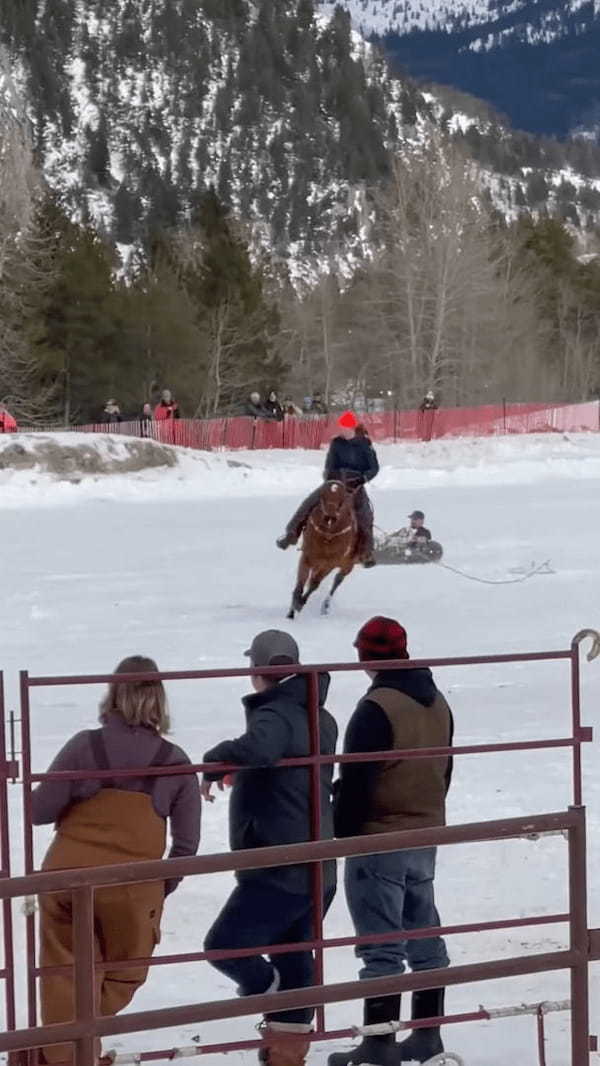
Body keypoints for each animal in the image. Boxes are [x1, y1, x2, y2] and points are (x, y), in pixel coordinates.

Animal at [285, 479, 362, 622]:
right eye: (322, 495)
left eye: (342, 498)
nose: (330, 516)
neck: (327, 535)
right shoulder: (307, 557)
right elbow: (300, 582)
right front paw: (293, 608)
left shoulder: (330, 563)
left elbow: (314, 584)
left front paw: (300, 603)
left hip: (347, 566)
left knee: (337, 581)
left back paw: (325, 606)